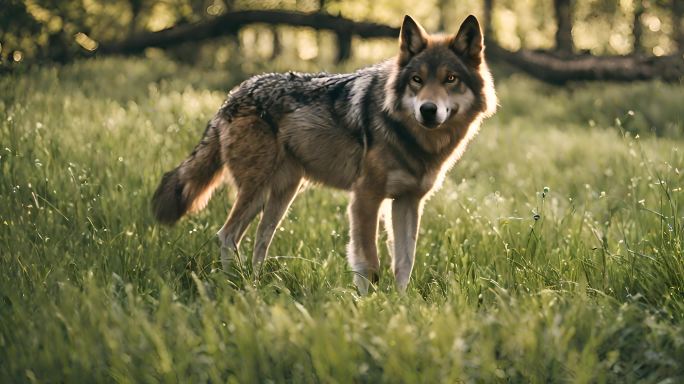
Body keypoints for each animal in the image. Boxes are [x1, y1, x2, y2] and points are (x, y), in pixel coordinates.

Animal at [152, 14, 496, 292]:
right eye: (417, 80)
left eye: (450, 79)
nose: (428, 110)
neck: (414, 139)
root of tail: (233, 94)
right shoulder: (365, 198)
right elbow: (369, 263)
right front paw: (370, 306)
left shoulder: (407, 202)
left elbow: (404, 263)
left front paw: (401, 305)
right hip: (257, 191)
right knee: (227, 235)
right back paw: (233, 284)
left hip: (281, 196)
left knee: (260, 241)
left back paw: (256, 283)